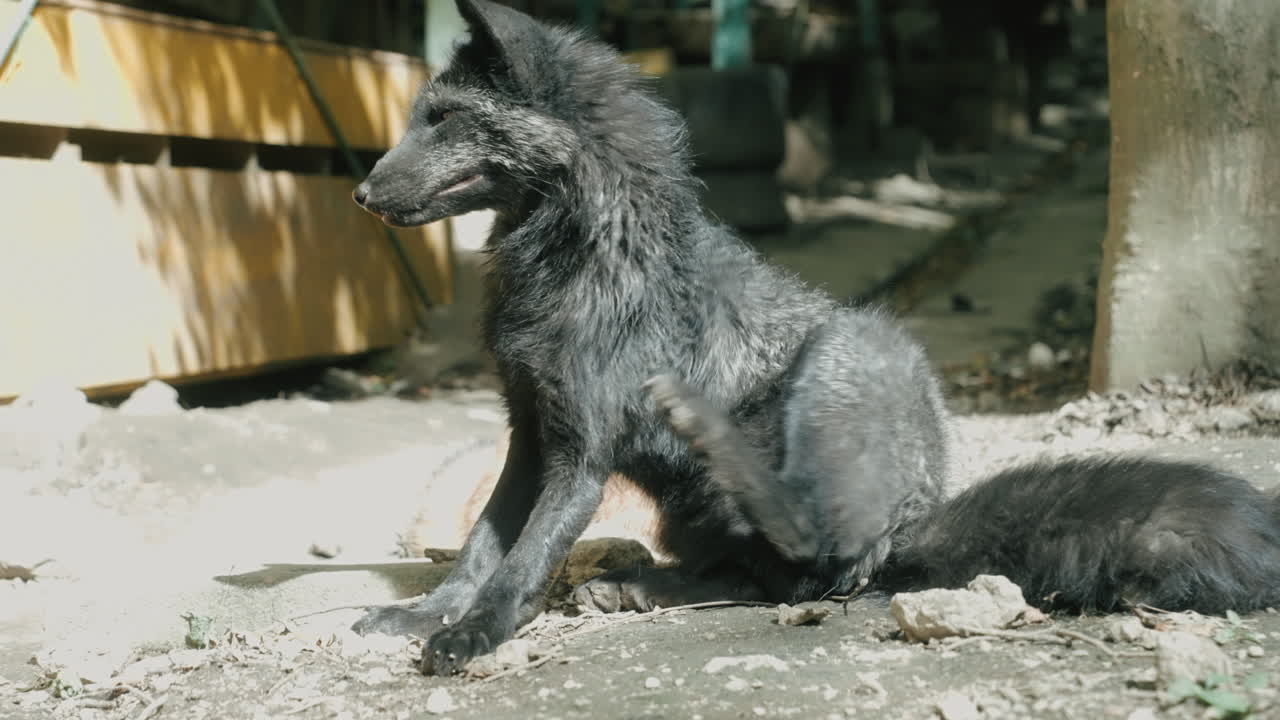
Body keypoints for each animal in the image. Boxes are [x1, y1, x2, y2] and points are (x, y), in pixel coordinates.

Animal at [349, 0, 1280, 677]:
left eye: (444, 119)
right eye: (420, 116)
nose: (358, 194)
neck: (577, 256)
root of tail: (914, 523)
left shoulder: (582, 451)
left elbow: (522, 560)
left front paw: (474, 636)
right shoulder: (530, 431)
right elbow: (480, 548)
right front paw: (424, 615)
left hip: (850, 356)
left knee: (813, 560)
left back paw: (700, 456)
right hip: (689, 508)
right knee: (755, 575)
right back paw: (642, 586)